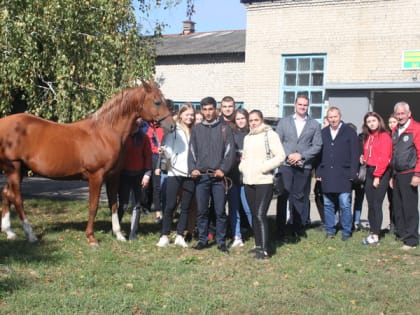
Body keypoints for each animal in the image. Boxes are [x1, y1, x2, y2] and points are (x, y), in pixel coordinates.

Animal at [0, 80, 174, 246]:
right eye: (157, 102)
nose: (171, 126)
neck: (105, 133)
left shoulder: (113, 176)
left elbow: (114, 204)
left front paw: (119, 235)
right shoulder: (96, 176)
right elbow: (93, 206)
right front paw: (91, 238)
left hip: (19, 169)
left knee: (7, 193)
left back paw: (9, 231)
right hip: (14, 167)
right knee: (17, 198)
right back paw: (30, 235)